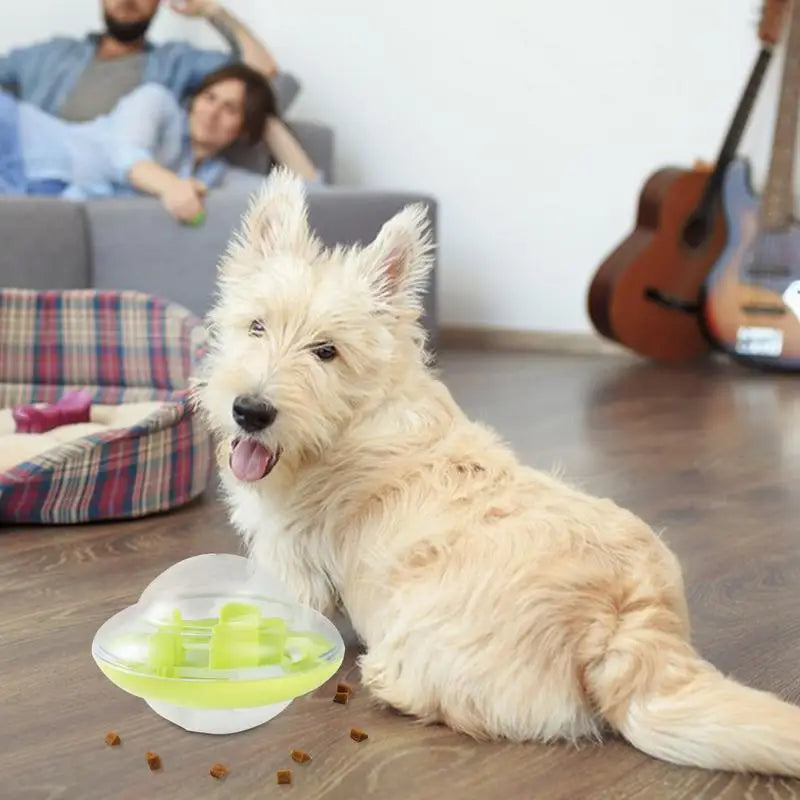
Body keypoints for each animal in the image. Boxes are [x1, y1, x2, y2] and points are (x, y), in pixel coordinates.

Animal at [194, 169, 800, 776]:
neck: (353, 420)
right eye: (256, 326)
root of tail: (625, 617)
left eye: (327, 351)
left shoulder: (289, 558)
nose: (250, 411)